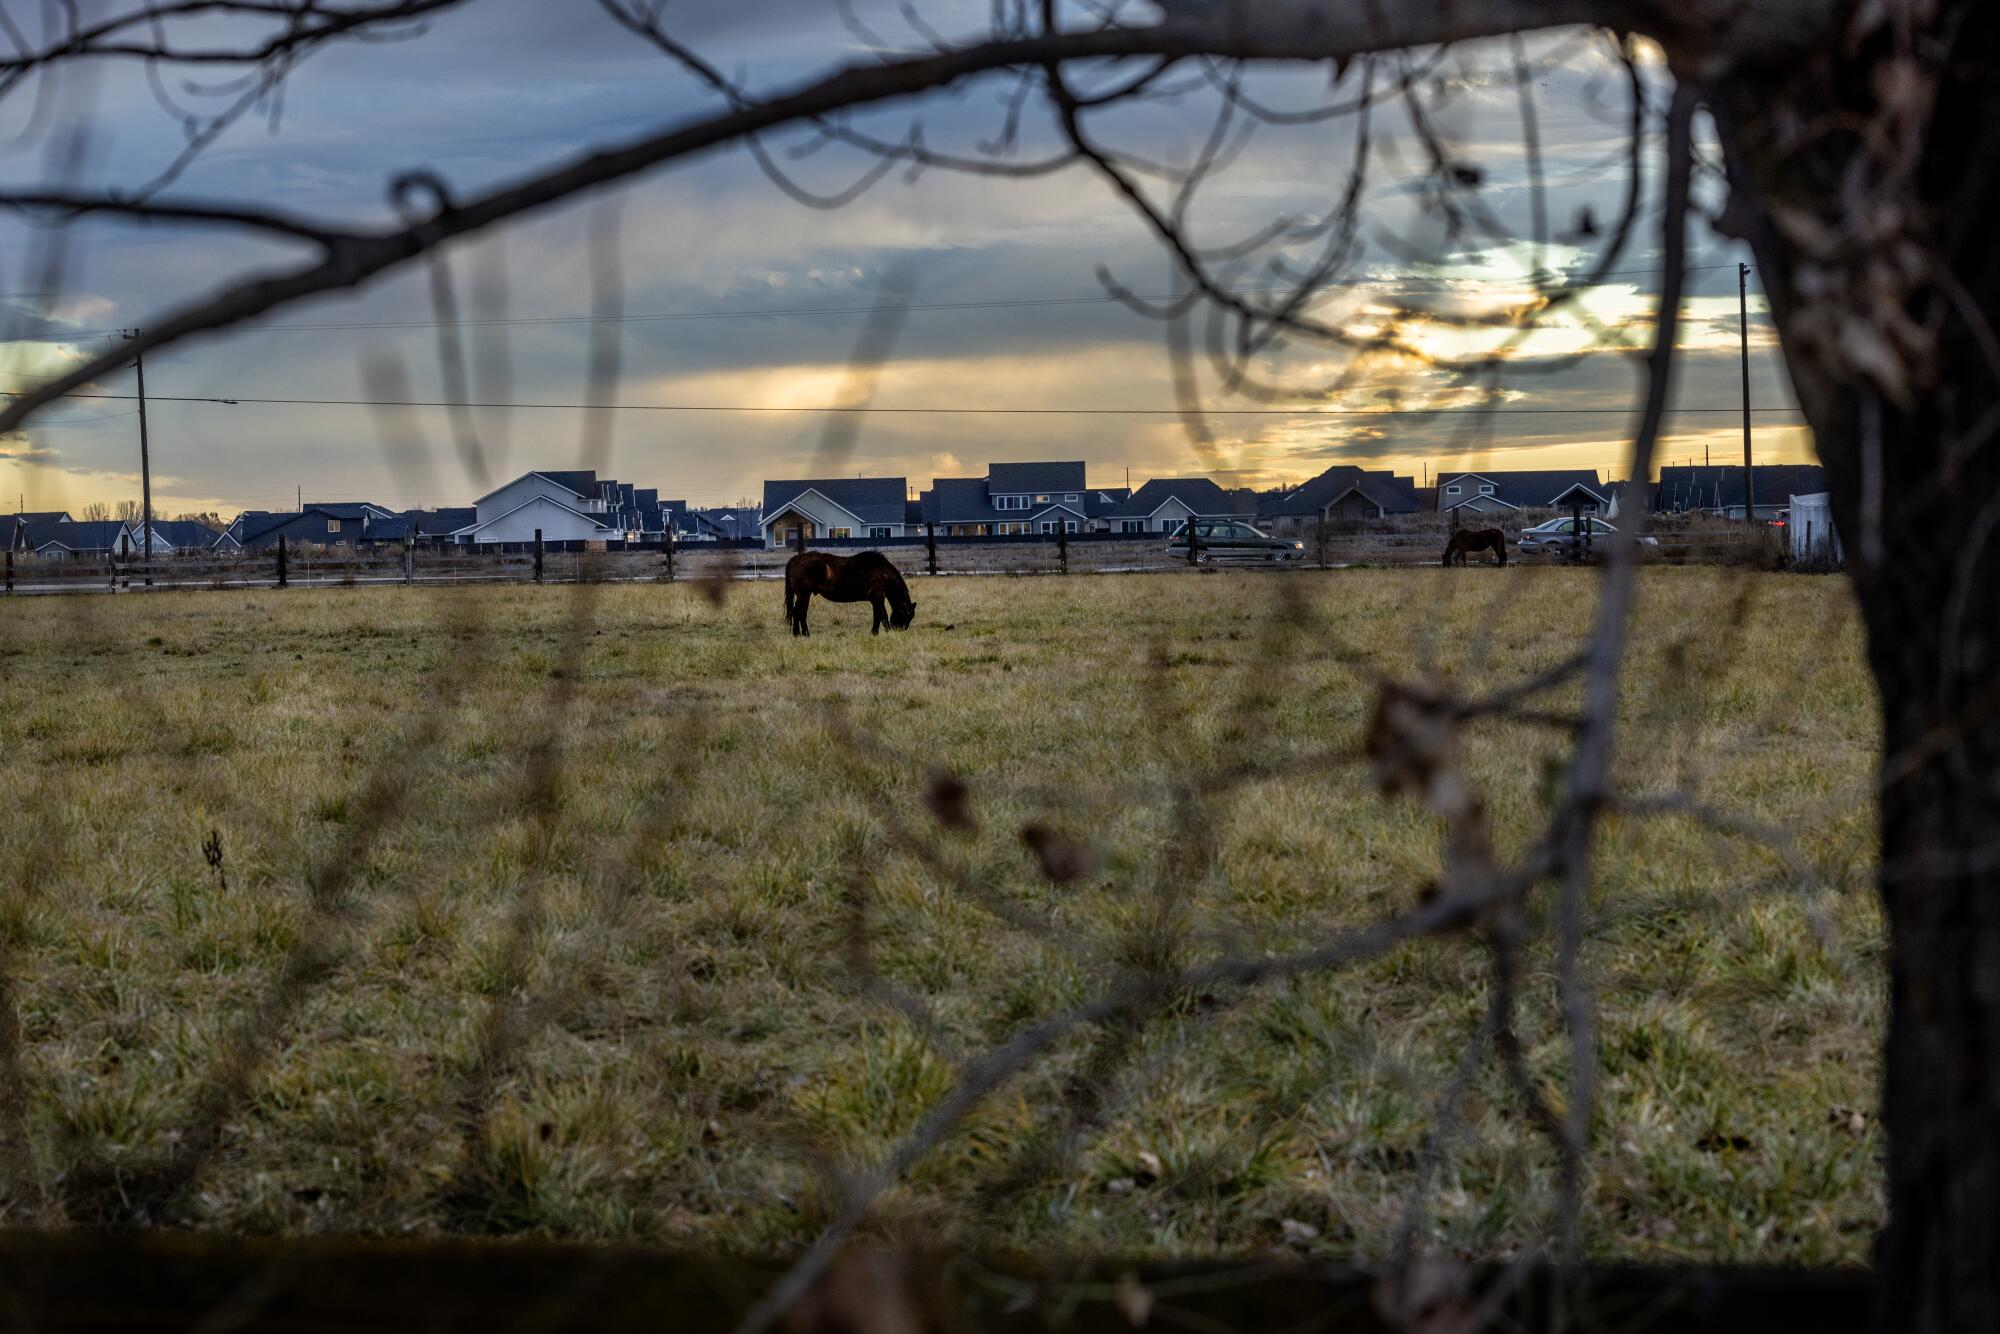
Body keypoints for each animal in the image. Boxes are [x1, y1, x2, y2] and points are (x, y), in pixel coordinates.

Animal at [784, 552, 916, 640]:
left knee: (801, 613)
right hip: (803, 594)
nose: (900, 630)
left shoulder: (875, 600)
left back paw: (804, 634)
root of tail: (795, 559)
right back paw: (798, 634)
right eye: (906, 615)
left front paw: (875, 632)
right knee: (797, 612)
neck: (882, 571)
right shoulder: (878, 596)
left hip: (805, 595)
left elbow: (877, 616)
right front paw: (887, 631)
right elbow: (882, 615)